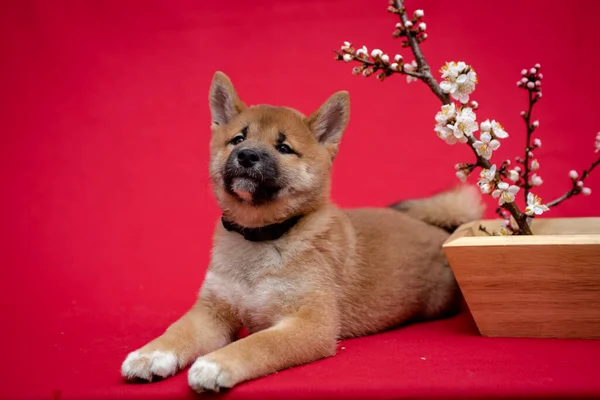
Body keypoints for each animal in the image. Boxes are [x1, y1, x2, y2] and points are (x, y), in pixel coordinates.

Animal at [120, 71, 482, 390]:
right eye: (238, 139)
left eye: (284, 148)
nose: (246, 155)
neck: (259, 239)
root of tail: (435, 227)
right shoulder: (212, 311)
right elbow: (177, 331)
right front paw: (151, 353)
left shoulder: (310, 324)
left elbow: (259, 344)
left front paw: (216, 363)